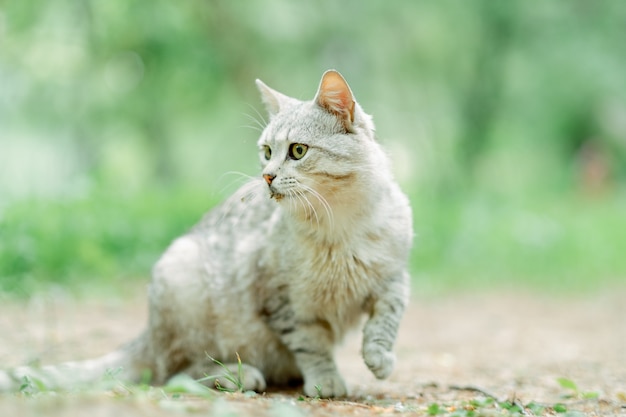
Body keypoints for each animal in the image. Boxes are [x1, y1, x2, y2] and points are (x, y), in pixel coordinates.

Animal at [1, 70, 414, 398]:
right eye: (267, 152)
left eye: (297, 151)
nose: (267, 176)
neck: (340, 223)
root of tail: (147, 334)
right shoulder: (282, 298)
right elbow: (311, 343)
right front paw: (325, 378)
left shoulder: (395, 277)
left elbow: (388, 317)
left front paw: (379, 357)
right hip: (183, 282)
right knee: (175, 373)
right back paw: (237, 375)